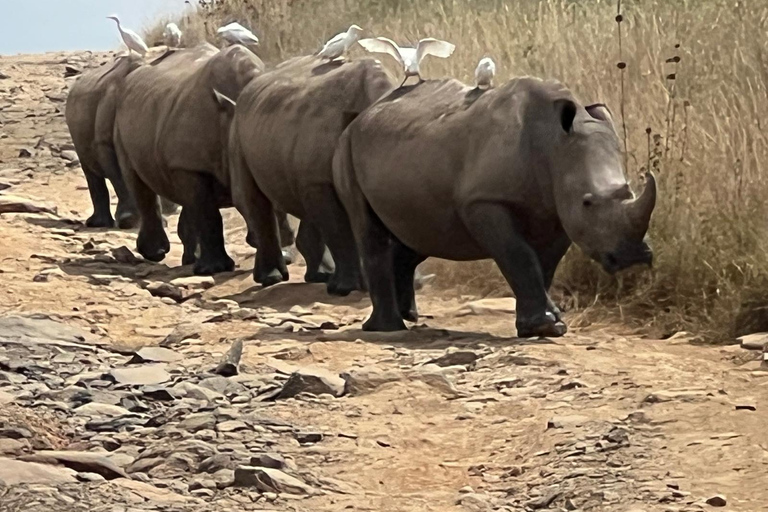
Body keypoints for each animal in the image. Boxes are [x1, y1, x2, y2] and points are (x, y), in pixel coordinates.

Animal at [115, 43, 290, 276]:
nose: (288, 243)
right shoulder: (189, 165)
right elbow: (209, 214)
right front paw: (214, 269)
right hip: (122, 121)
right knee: (139, 183)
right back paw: (157, 254)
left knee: (187, 199)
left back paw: (191, 260)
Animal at [226, 56, 396, 292]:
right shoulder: (319, 182)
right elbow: (339, 231)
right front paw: (345, 288)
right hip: (238, 129)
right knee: (253, 199)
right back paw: (272, 279)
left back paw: (321, 276)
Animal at [332, 78, 656, 338]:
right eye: (587, 202)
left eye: (629, 191)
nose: (632, 257)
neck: (553, 144)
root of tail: (362, 116)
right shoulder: (484, 201)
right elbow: (519, 255)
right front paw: (546, 325)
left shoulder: (558, 209)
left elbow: (544, 264)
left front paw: (540, 326)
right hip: (346, 148)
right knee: (369, 231)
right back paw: (387, 328)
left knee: (419, 233)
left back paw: (408, 316)